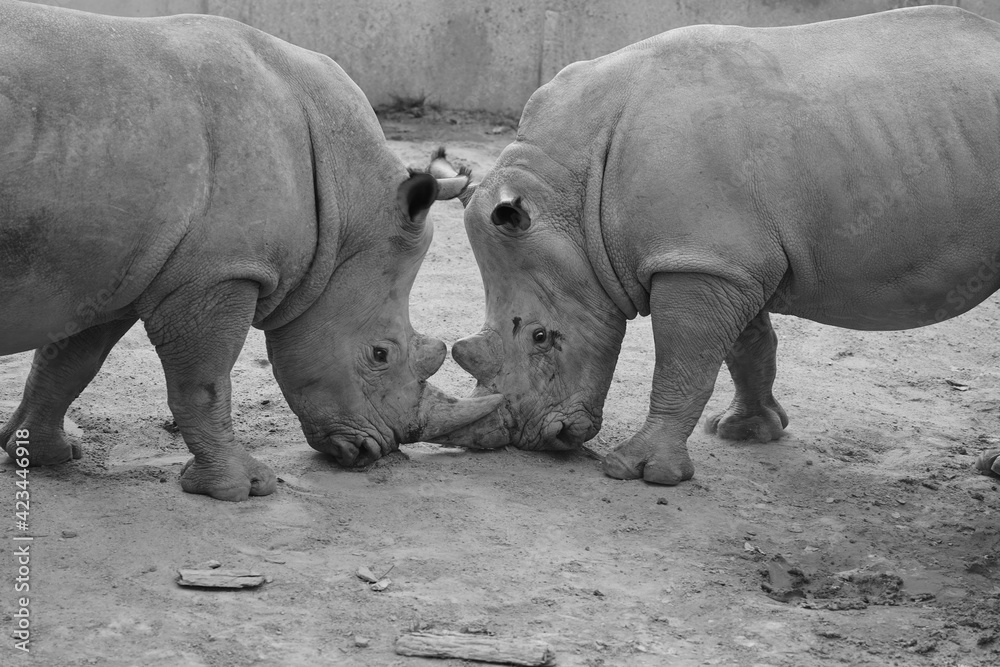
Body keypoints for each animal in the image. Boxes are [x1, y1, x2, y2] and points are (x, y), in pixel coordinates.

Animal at [0, 1, 499, 501]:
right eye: (381, 355)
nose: (372, 452)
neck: (346, 210)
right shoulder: (219, 272)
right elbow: (204, 380)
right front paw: (245, 487)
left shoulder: (119, 269)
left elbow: (70, 361)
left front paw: (45, 455)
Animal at [449, 6, 1000, 485]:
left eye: (541, 337)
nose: (530, 439)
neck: (571, 199)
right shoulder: (722, 258)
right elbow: (746, 345)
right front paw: (748, 432)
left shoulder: (698, 259)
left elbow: (683, 359)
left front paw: (638, 471)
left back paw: (992, 468)